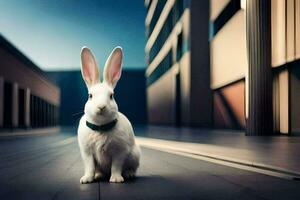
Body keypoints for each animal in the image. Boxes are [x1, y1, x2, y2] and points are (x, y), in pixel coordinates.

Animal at [77, 46, 141, 184]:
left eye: (111, 95)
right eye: (90, 96)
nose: (101, 106)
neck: (100, 128)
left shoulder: (119, 152)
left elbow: (116, 166)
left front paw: (116, 179)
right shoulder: (87, 153)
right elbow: (90, 166)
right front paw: (86, 179)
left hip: (135, 155)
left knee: (131, 168)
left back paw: (129, 174)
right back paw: (98, 176)